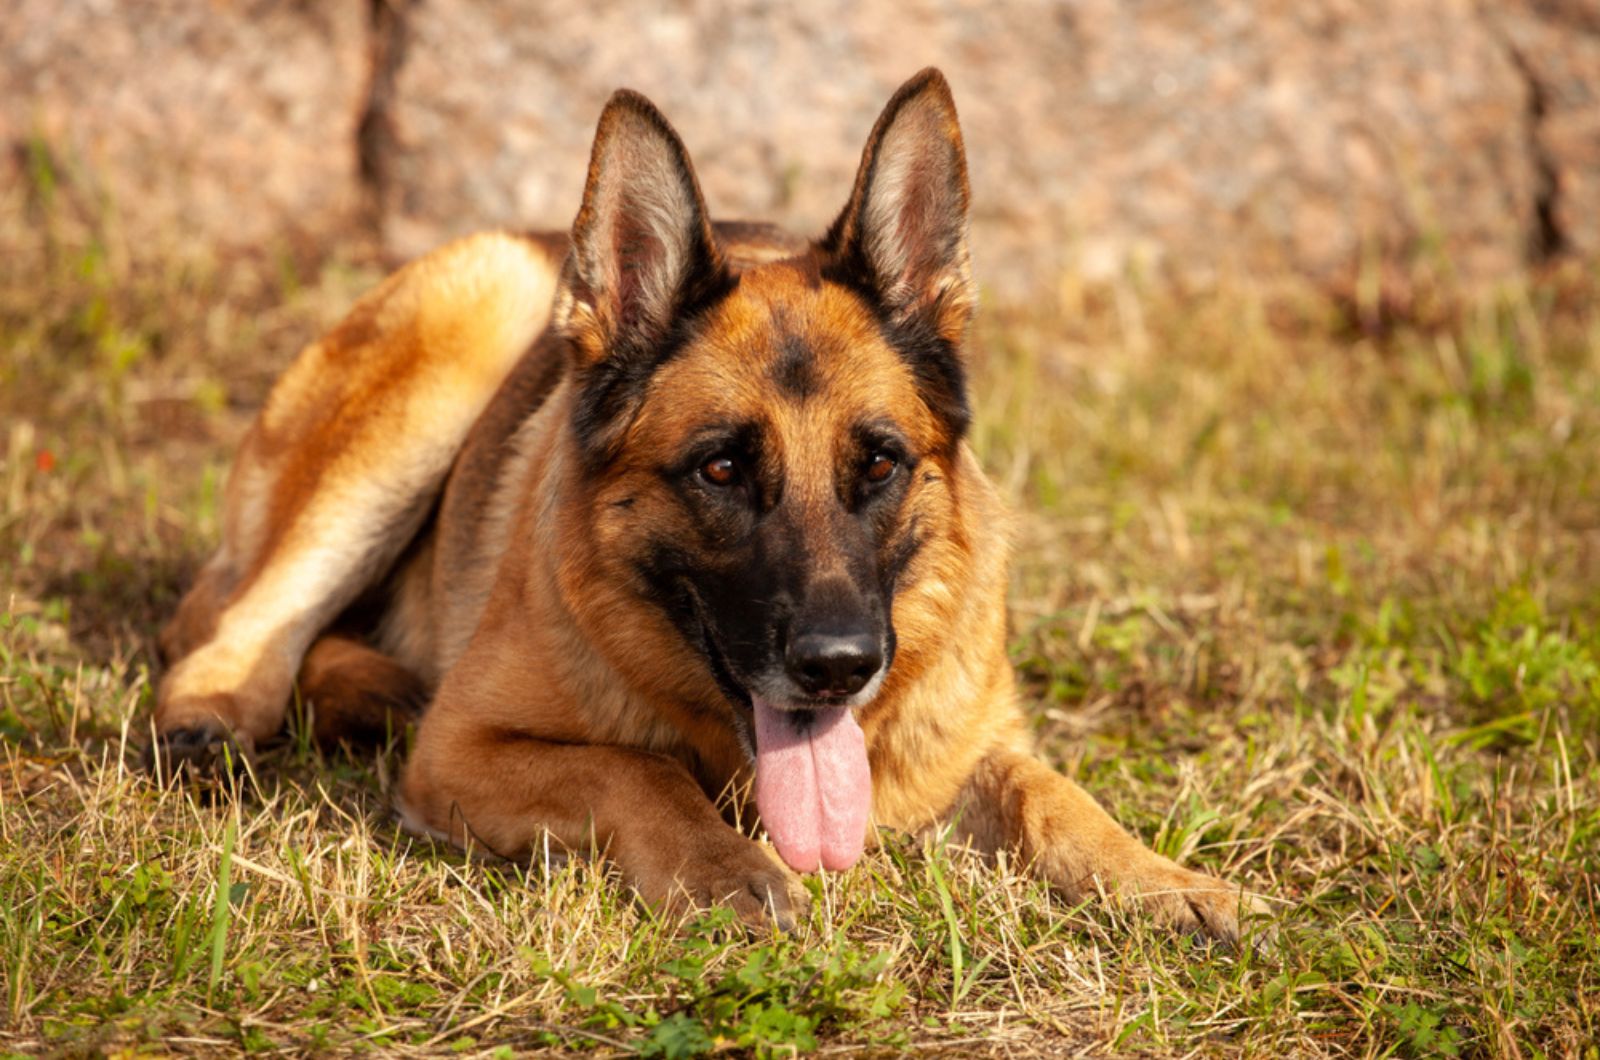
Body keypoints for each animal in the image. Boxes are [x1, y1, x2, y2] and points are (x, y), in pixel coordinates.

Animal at [150, 70, 1248, 941]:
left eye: (880, 464)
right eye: (720, 469)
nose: (840, 666)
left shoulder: (966, 746)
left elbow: (1047, 790)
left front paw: (1156, 877)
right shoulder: (462, 751)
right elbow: (635, 770)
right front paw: (722, 867)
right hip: (458, 335)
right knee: (234, 618)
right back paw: (215, 711)